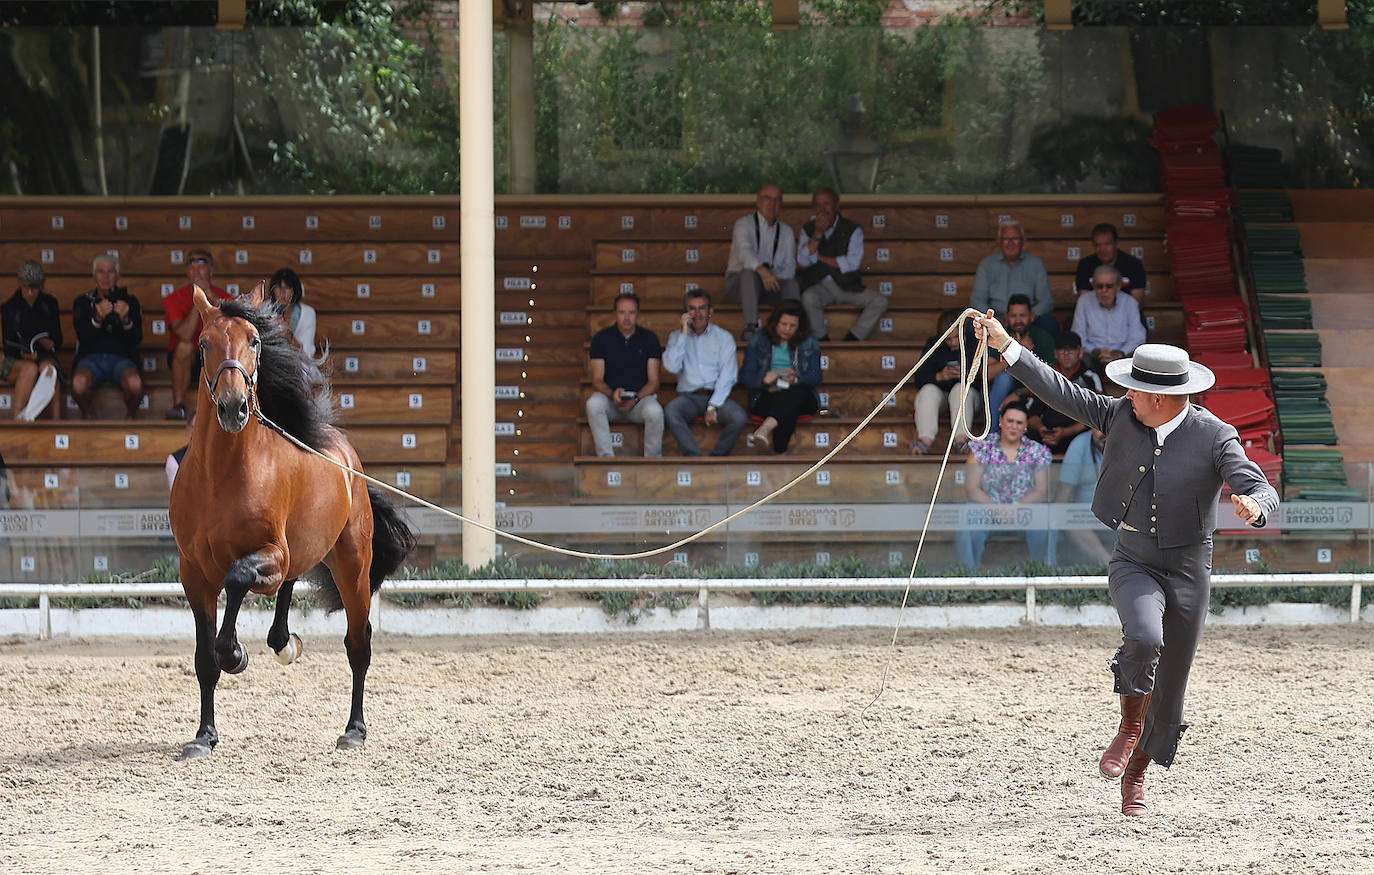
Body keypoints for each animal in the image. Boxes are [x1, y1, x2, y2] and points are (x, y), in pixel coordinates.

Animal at [168, 282, 412, 752]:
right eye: (204, 343)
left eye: (255, 341)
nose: (233, 408)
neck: (220, 477)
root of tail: (344, 451)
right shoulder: (194, 573)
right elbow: (204, 659)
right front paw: (203, 736)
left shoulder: (269, 556)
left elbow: (238, 579)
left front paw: (236, 655)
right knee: (289, 592)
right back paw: (284, 643)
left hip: (352, 566)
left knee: (358, 643)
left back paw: (354, 729)